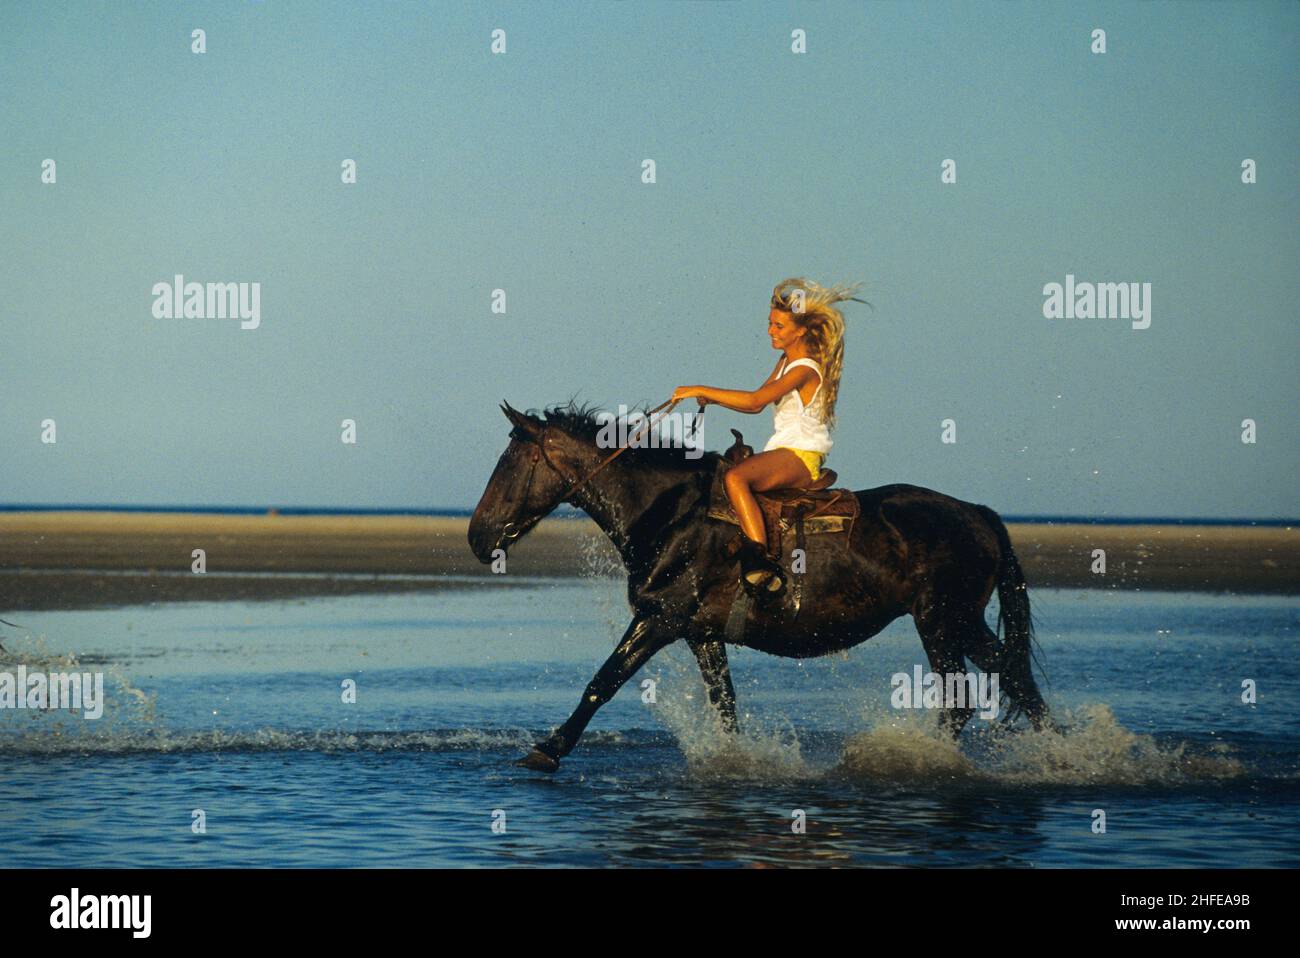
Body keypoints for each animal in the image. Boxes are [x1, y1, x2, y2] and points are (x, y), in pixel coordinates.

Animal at [467, 400, 1055, 774]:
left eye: (513, 462)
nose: (477, 537)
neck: (671, 514)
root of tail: (977, 514)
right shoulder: (701, 634)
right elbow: (725, 707)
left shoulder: (658, 620)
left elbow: (602, 682)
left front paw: (548, 749)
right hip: (962, 621)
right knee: (1014, 675)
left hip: (940, 619)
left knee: (963, 698)